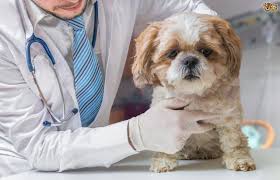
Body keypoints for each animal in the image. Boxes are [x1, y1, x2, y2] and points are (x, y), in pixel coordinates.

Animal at [131, 11, 256, 172]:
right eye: (173, 53)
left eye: (206, 51)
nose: (190, 60)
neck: (194, 95)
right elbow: (164, 142)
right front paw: (163, 161)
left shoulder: (229, 117)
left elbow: (234, 141)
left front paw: (239, 160)